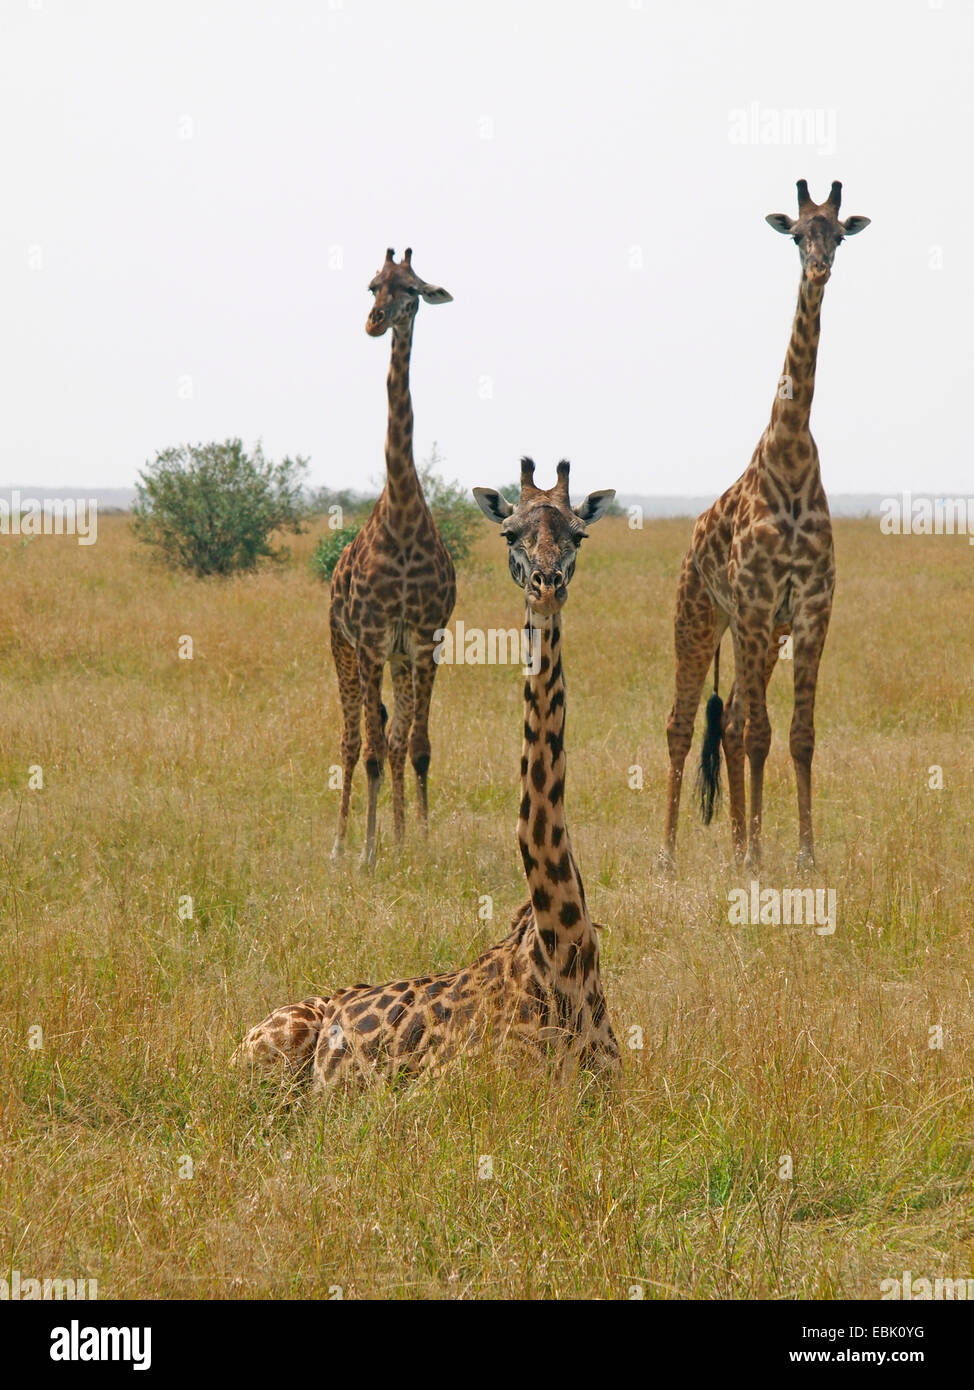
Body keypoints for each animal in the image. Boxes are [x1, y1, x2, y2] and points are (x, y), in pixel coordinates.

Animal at [658, 173, 872, 867]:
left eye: (838, 235)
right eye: (798, 234)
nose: (820, 266)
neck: (792, 451)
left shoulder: (808, 608)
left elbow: (799, 735)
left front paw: (802, 852)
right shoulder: (754, 604)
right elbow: (760, 734)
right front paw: (757, 856)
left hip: (754, 632)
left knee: (728, 726)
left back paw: (734, 844)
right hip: (699, 617)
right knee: (684, 724)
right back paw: (671, 854)